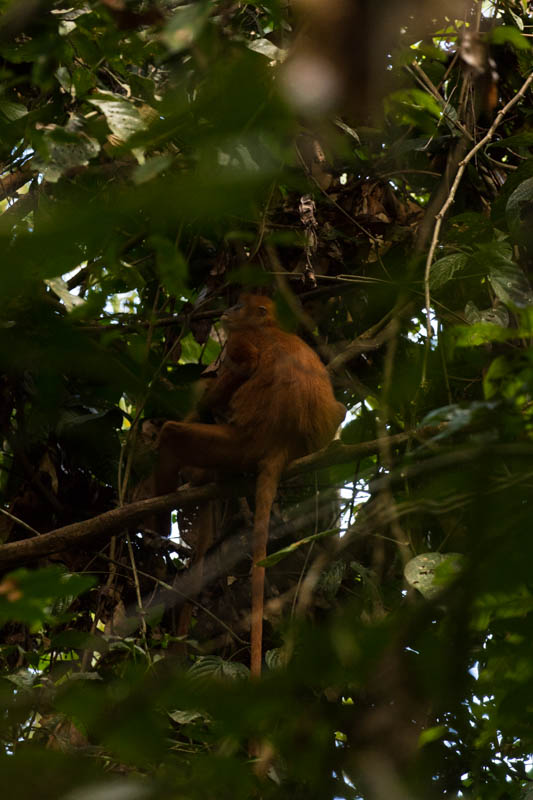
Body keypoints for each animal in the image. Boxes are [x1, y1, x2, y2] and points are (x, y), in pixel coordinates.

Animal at [154, 294, 344, 676]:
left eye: (239, 305)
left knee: (172, 434)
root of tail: (279, 445)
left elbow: (246, 366)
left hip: (237, 445)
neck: (269, 327)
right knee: (342, 409)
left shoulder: (242, 342)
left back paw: (165, 504)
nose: (227, 310)